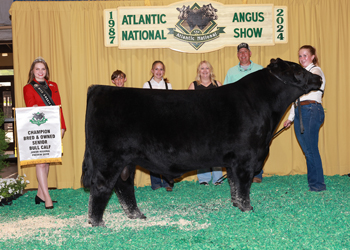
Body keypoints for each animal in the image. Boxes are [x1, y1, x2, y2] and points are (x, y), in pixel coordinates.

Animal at [82, 58, 322, 227]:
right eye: (299, 71)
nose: (318, 79)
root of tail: (99, 88)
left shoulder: (233, 160)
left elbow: (234, 183)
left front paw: (236, 204)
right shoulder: (246, 157)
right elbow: (244, 185)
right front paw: (247, 208)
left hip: (127, 161)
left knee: (123, 186)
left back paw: (136, 215)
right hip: (109, 159)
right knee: (101, 186)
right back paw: (97, 223)